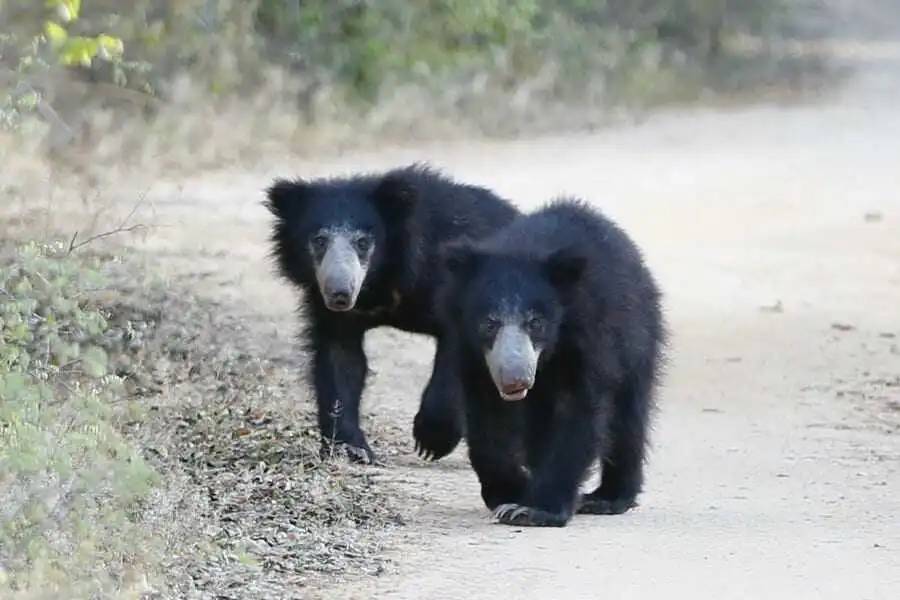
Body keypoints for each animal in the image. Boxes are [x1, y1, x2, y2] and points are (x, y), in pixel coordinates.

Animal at [263, 163, 521, 465]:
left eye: (363, 243)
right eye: (319, 240)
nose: (340, 294)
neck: (380, 281)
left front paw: (431, 440)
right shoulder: (332, 311)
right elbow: (340, 360)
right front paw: (351, 448)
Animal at [434, 196, 666, 527]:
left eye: (536, 323)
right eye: (489, 324)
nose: (515, 379)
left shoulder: (591, 337)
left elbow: (578, 411)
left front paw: (533, 509)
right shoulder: (472, 351)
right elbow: (487, 416)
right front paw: (511, 492)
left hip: (638, 338)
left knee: (627, 419)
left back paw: (608, 497)